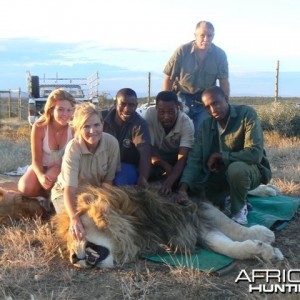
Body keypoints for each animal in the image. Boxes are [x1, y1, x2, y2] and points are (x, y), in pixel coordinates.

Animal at [52, 184, 284, 268]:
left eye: (75, 234)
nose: (73, 258)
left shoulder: (192, 206)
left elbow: (233, 227)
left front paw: (263, 234)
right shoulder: (185, 228)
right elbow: (225, 246)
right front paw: (263, 251)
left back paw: (268, 189)